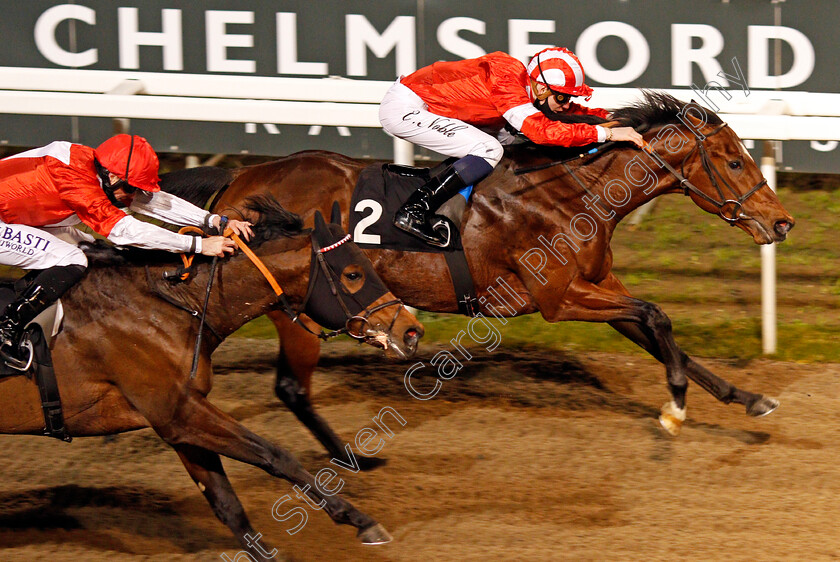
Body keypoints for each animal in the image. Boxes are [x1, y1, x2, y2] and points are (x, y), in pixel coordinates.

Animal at [0, 196, 420, 556]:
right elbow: (276, 456)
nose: (411, 331)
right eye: (353, 274)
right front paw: (360, 521)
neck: (169, 305)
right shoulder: (178, 411)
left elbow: (226, 503)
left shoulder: (178, 421)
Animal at [162, 91, 796, 450]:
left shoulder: (595, 286)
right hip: (296, 302)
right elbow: (658, 317)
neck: (573, 192)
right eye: (733, 161)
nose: (783, 222)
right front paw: (675, 411)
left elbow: (661, 334)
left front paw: (747, 399)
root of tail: (239, 180)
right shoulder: (558, 298)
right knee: (291, 385)